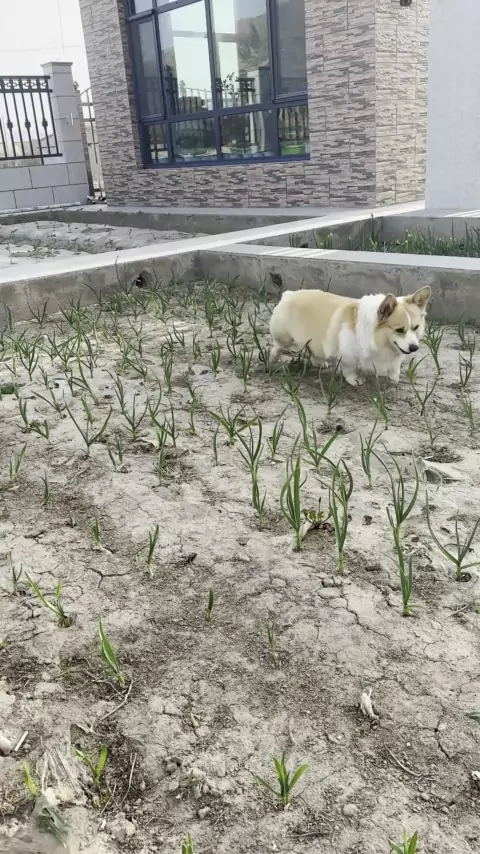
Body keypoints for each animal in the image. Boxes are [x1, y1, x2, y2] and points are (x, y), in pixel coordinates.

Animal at [269, 286, 431, 385]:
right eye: (399, 330)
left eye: (416, 327)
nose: (414, 348)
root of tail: (289, 294)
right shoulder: (347, 354)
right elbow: (350, 368)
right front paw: (355, 380)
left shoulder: (396, 355)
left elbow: (394, 367)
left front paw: (393, 379)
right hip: (285, 338)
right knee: (277, 346)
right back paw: (272, 361)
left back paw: (319, 362)